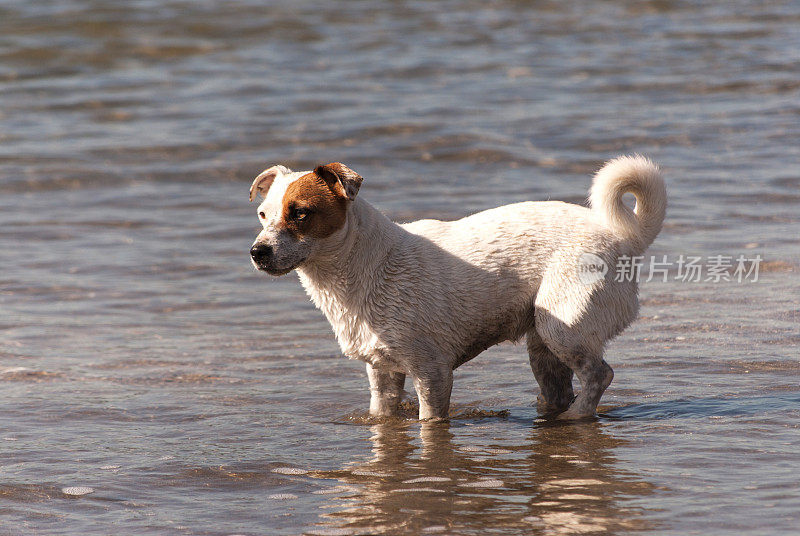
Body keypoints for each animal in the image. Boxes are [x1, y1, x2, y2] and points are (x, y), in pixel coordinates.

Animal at [248, 157, 664, 420]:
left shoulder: (432, 373)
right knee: (560, 389)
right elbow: (382, 414)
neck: (364, 266)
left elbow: (430, 423)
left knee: (599, 375)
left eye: (301, 213)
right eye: (263, 215)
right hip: (542, 346)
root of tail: (621, 237)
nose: (257, 252)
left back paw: (576, 418)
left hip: (561, 327)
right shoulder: (383, 375)